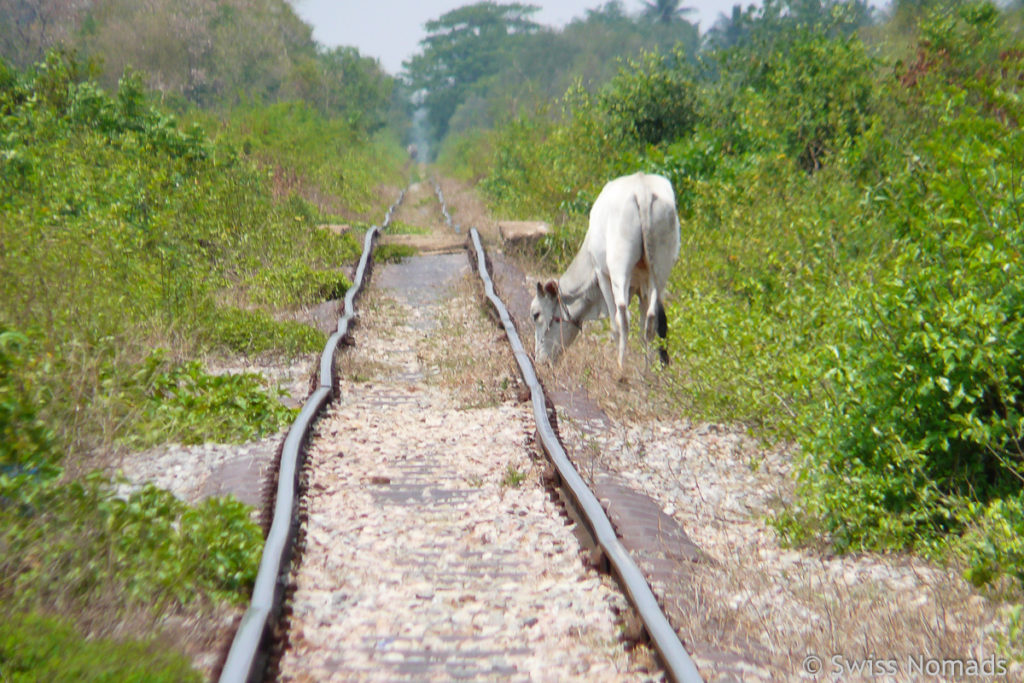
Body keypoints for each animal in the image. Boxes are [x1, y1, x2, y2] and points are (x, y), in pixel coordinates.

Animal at [528, 174, 679, 370]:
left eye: (536, 315)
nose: (539, 360)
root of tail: (642, 190)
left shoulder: (601, 274)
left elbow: (616, 323)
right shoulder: (643, 287)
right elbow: (650, 323)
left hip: (619, 270)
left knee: (622, 318)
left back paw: (620, 367)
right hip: (660, 271)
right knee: (652, 320)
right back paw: (647, 371)